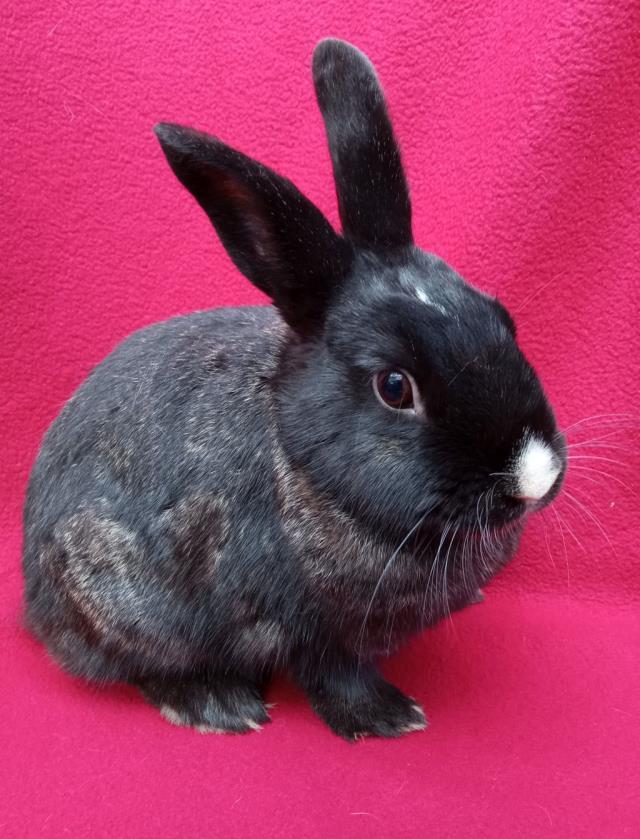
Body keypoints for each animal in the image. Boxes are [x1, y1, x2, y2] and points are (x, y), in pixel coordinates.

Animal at [22, 38, 567, 740]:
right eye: (395, 387)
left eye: (503, 319)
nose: (534, 474)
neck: (304, 463)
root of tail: (32, 602)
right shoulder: (308, 629)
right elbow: (335, 676)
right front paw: (390, 718)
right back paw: (220, 707)